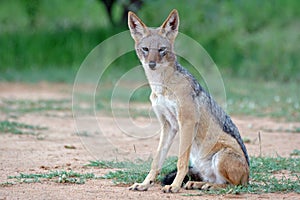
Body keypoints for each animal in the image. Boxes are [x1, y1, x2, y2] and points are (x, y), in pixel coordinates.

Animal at [127, 8, 250, 193]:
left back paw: (207, 185)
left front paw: (174, 186)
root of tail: (249, 177)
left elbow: (181, 162)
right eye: (145, 49)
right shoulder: (168, 126)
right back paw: (197, 184)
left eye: (162, 50)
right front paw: (144, 184)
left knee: (231, 185)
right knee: (215, 181)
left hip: (220, 157)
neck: (161, 87)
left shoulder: (186, 122)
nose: (152, 64)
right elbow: (156, 162)